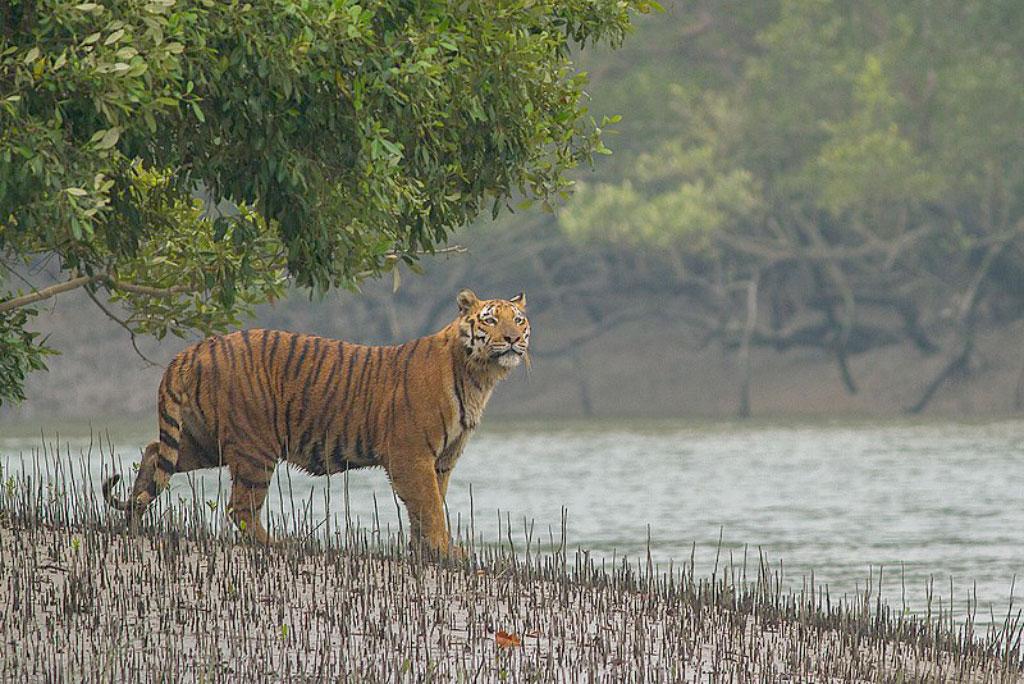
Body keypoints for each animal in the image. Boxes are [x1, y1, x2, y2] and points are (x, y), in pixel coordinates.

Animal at [101, 290, 528, 557]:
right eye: (490, 320)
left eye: (519, 320)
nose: (511, 339)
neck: (478, 376)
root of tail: (194, 348)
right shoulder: (412, 455)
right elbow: (429, 506)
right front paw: (446, 551)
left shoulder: (441, 460)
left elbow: (430, 505)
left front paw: (427, 550)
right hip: (255, 446)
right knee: (240, 507)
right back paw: (276, 544)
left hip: (205, 441)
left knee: (154, 453)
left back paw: (132, 520)